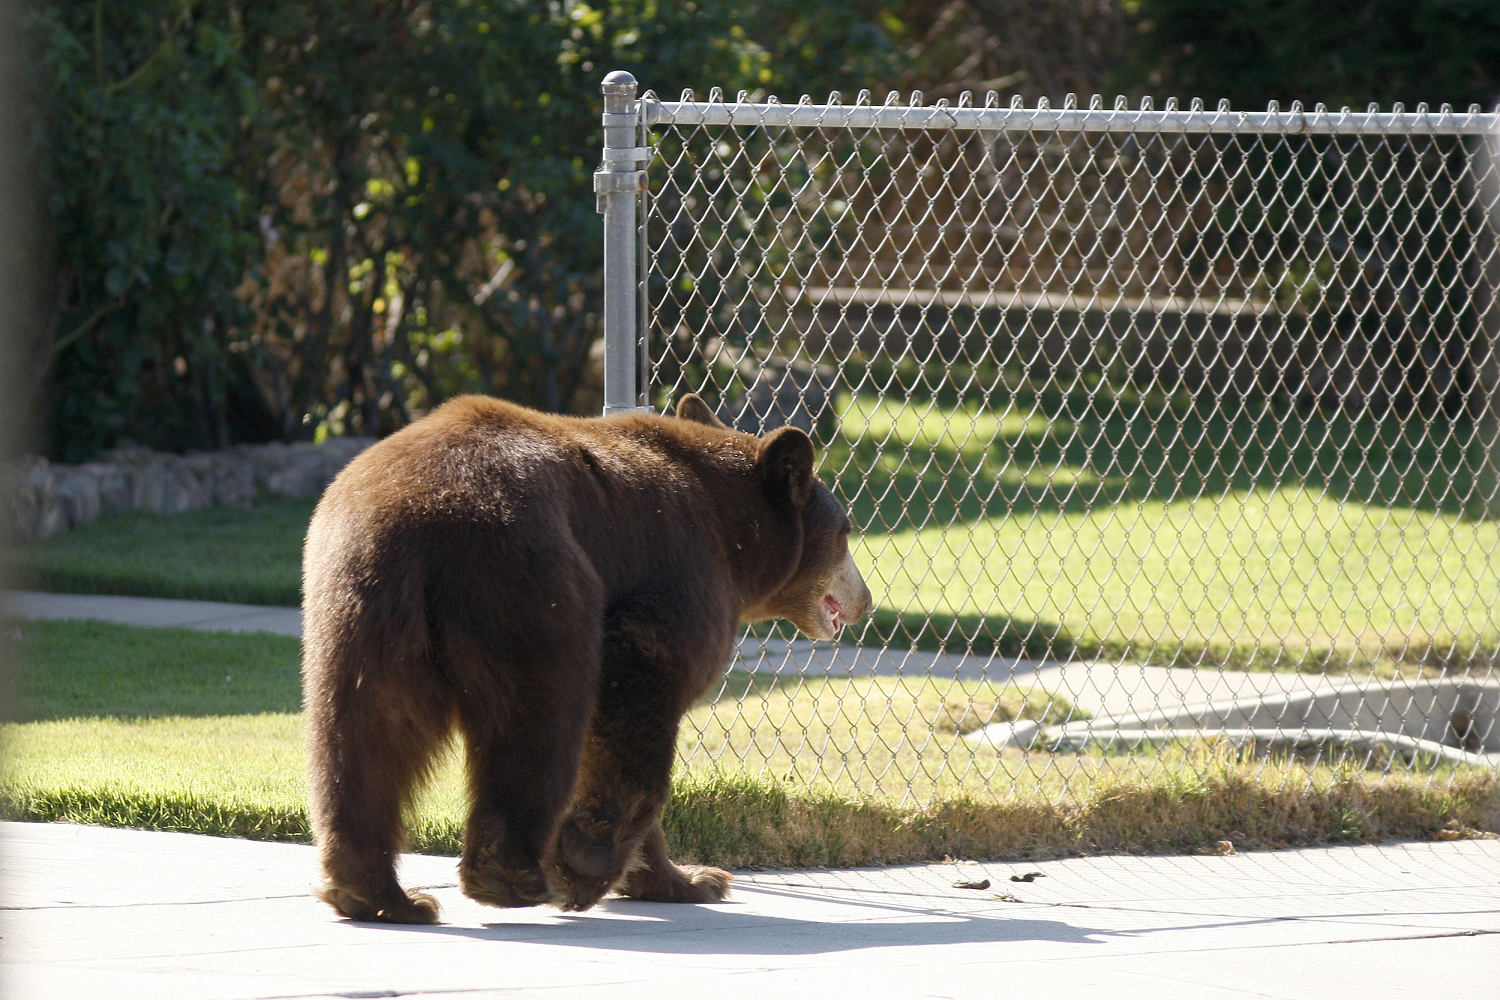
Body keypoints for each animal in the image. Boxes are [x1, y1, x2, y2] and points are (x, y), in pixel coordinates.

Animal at [300, 389, 876, 923]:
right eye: (846, 531)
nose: (865, 599)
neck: (737, 537)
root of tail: (418, 512)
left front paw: (690, 878)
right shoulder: (681, 573)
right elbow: (640, 689)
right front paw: (592, 859)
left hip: (359, 604)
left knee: (367, 733)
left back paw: (378, 894)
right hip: (527, 579)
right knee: (539, 714)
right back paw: (512, 876)